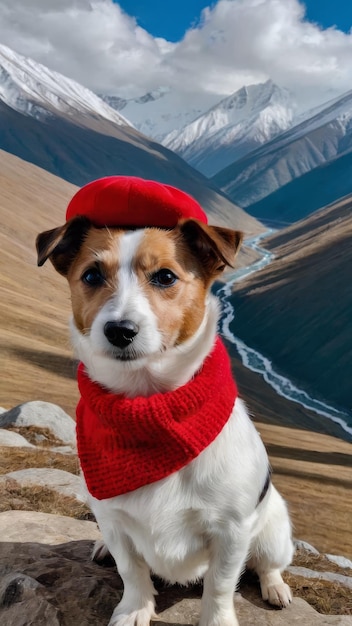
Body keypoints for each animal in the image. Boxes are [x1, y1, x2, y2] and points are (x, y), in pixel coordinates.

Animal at [36, 176, 294, 624]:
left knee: (268, 564)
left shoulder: (230, 532)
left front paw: (218, 619)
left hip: (275, 530)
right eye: (91, 275)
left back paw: (275, 587)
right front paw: (134, 609)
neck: (148, 408)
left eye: (165, 276)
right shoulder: (113, 520)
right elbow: (132, 569)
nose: (119, 330)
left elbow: (220, 586)